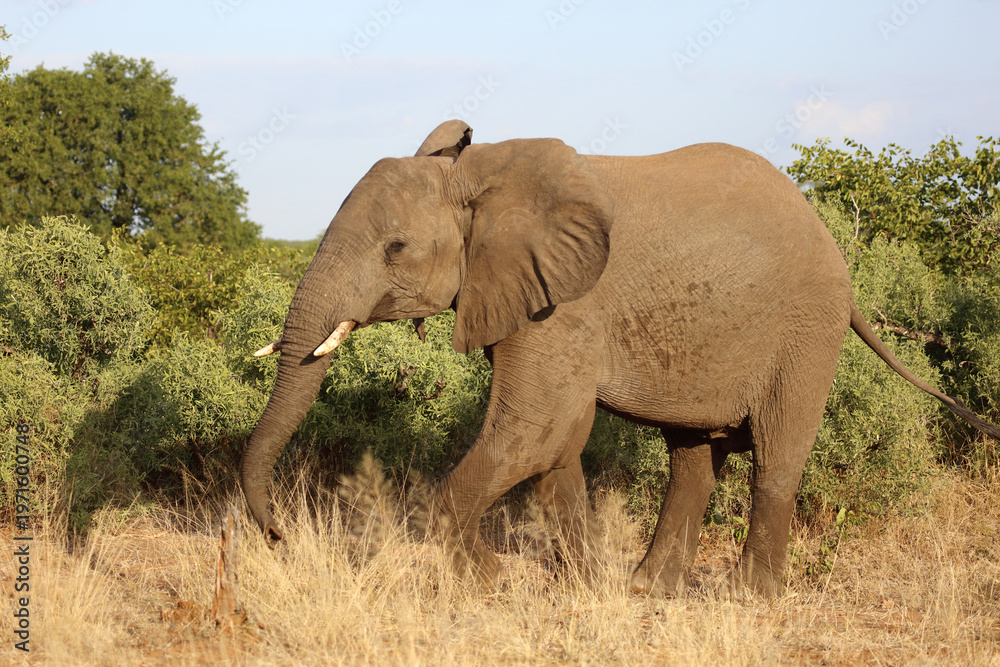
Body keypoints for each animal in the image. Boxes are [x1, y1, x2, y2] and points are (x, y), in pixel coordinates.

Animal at [241, 120, 1000, 598]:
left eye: (395, 248)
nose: (278, 534)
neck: (482, 175)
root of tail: (831, 243)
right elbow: (556, 443)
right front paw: (583, 586)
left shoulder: (565, 306)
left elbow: (534, 430)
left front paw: (487, 584)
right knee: (692, 456)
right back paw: (648, 588)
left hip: (806, 329)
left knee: (777, 454)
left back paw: (746, 598)